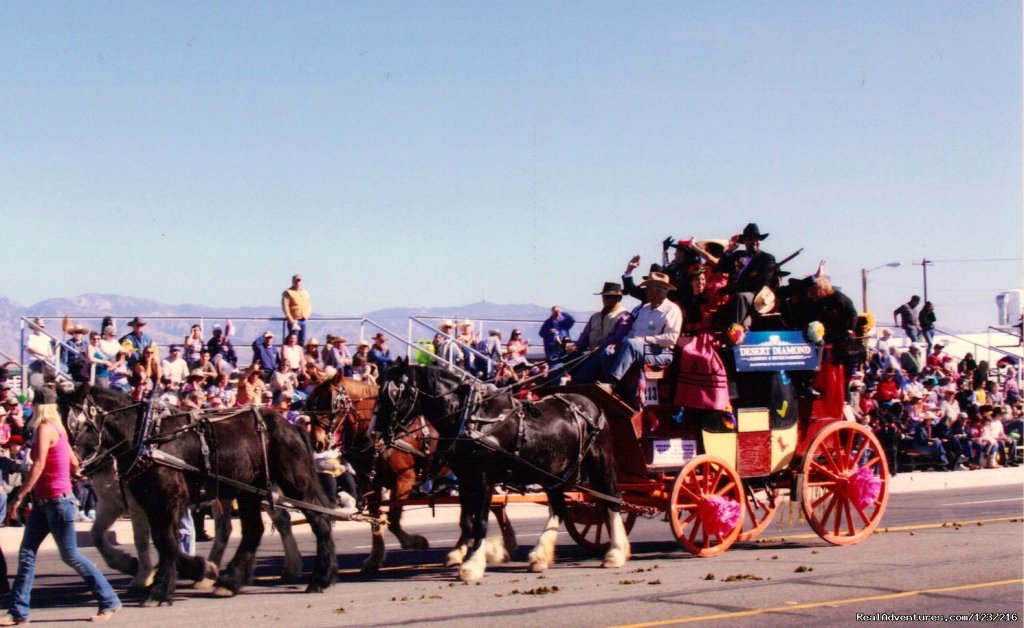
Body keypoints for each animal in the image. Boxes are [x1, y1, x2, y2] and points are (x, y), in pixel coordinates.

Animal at [58, 381, 335, 602]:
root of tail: (292, 426)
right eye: (56, 419)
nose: (70, 466)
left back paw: (319, 577)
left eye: (80, 425)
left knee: (319, 520)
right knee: (254, 529)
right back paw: (231, 581)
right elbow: (156, 541)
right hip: (249, 490)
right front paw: (197, 570)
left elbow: (163, 540)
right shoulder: (141, 502)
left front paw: (161, 587)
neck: (145, 438)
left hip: (294, 482)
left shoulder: (165, 499)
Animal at [299, 372, 516, 573]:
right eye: (310, 403)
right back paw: (486, 546)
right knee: (489, 505)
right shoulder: (370, 481)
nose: (317, 443)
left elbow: (393, 520)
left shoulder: (404, 477)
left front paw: (415, 542)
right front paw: (375, 558)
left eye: (328, 402)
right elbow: (375, 520)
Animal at [372, 360, 626, 581]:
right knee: (559, 509)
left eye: (395, 392)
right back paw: (540, 557)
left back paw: (615, 553)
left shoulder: (483, 477)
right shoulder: (465, 478)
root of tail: (592, 404)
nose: (373, 432)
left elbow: (481, 522)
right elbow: (467, 522)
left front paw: (473, 565)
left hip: (599, 462)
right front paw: (477, 554)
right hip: (552, 473)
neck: (470, 416)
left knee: (611, 499)